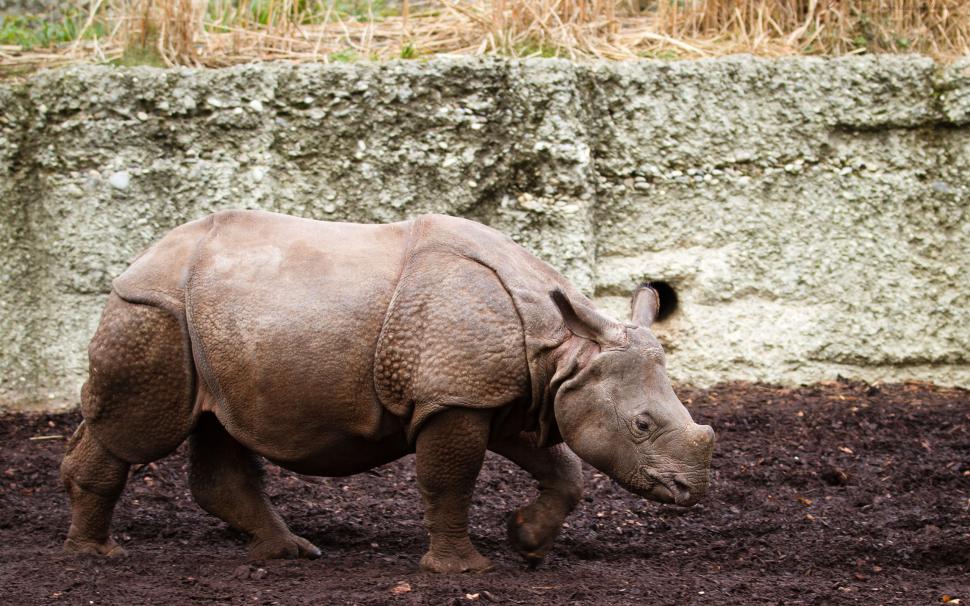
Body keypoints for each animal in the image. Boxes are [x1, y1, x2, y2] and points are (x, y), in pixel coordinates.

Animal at [61, 210, 715, 573]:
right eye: (642, 425)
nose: (691, 491)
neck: (564, 347)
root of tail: (139, 257)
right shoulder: (455, 396)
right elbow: (451, 481)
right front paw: (464, 571)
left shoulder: (506, 394)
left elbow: (565, 472)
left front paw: (528, 545)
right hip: (155, 313)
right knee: (136, 433)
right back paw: (96, 555)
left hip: (211, 324)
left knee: (217, 425)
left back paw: (289, 554)